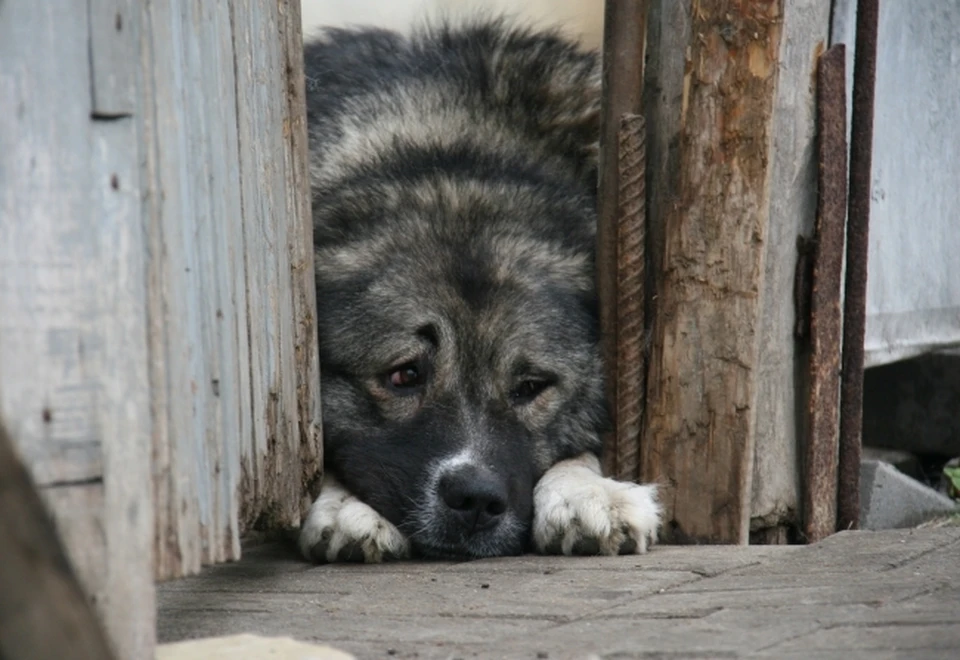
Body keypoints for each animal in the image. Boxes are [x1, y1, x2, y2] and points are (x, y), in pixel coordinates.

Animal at [300, 16, 660, 564]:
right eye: (404, 375)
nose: (475, 499)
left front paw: (585, 491)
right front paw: (344, 507)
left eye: (531, 386)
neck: (448, 154)